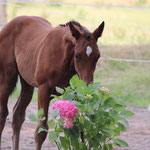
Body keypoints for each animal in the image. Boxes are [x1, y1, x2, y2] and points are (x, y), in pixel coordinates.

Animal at [0, 15, 104, 149]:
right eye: (77, 55)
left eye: (97, 56)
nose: (87, 86)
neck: (63, 56)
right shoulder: (43, 90)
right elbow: (41, 131)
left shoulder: (75, 93)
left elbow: (77, 131)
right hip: (6, 80)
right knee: (3, 115)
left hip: (27, 84)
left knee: (17, 115)